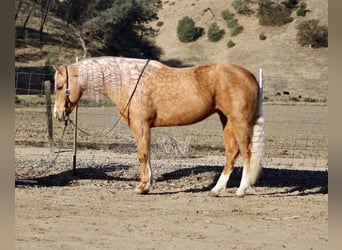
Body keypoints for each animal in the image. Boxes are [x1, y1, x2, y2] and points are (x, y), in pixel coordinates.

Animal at [52, 56, 264, 197]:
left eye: (60, 86)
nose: (57, 114)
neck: (128, 80)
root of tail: (249, 75)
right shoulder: (145, 127)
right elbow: (147, 155)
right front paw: (147, 185)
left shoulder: (140, 125)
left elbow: (142, 154)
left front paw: (141, 187)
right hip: (226, 120)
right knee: (232, 152)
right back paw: (216, 189)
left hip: (239, 121)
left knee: (247, 152)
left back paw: (241, 190)